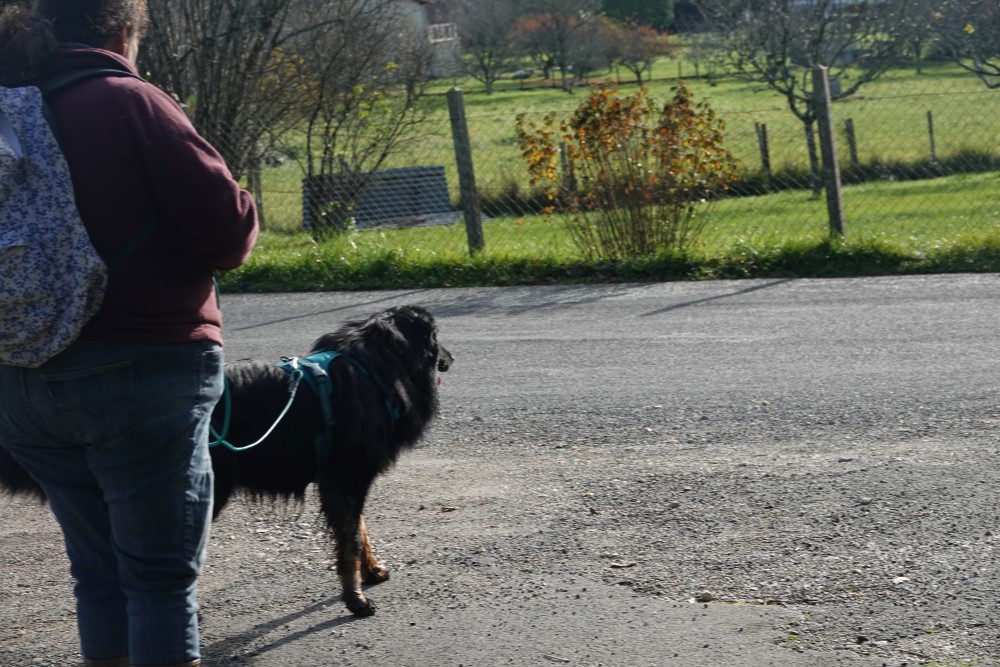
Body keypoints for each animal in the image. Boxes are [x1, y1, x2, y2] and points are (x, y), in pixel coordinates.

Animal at [0, 304, 452, 618]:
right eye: (435, 337)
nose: (450, 359)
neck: (374, 367)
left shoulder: (339, 480)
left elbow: (359, 532)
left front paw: (372, 571)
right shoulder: (346, 477)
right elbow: (349, 541)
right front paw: (354, 598)